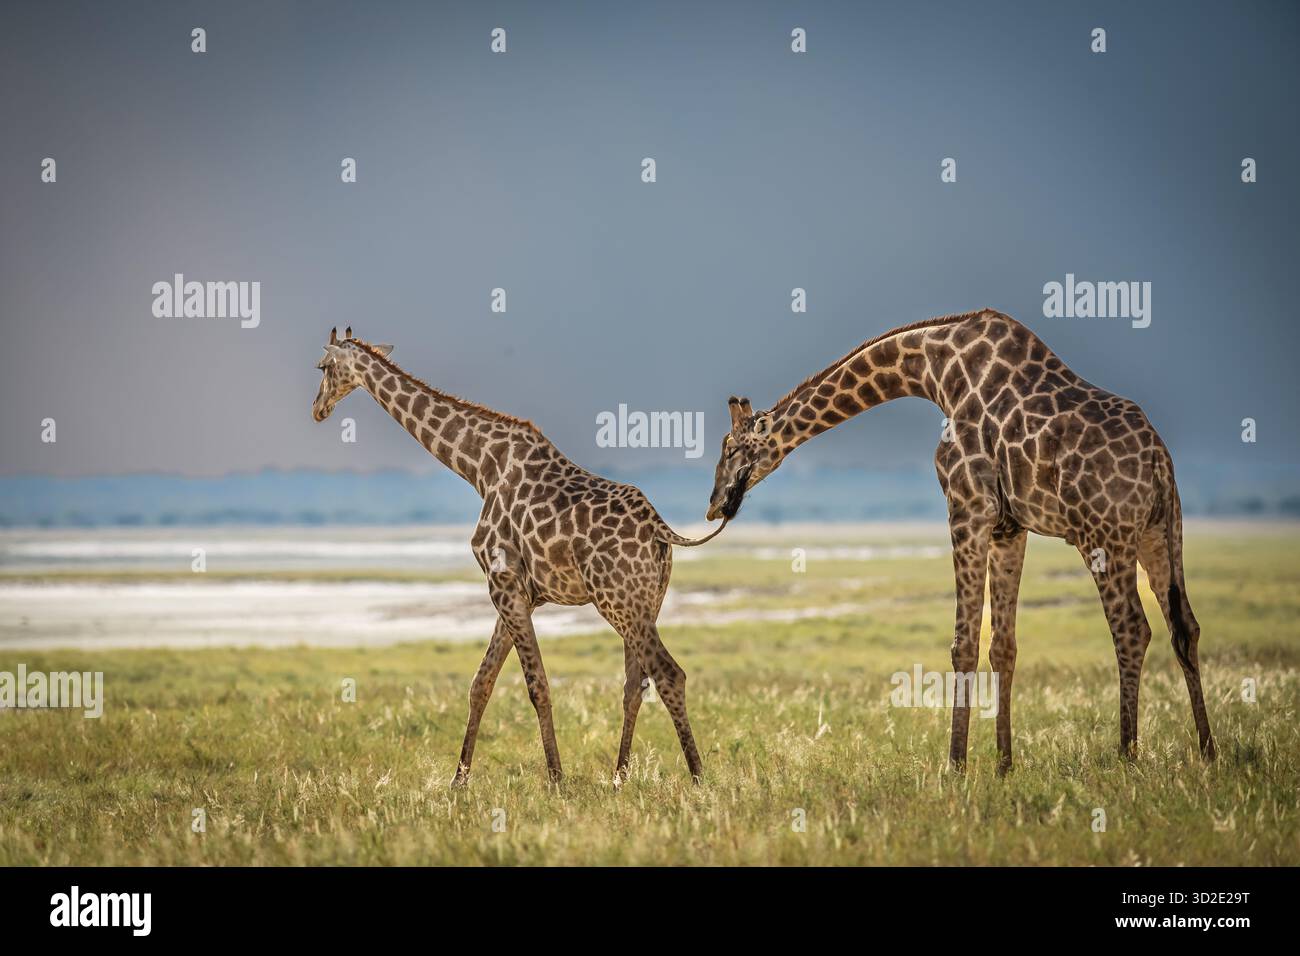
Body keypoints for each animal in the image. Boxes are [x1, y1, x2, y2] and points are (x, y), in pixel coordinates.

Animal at [311, 327, 727, 785]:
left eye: (323, 367)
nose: (318, 408)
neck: (479, 466)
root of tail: (660, 529)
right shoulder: (518, 591)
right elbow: (481, 683)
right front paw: (458, 782)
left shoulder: (503, 584)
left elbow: (536, 685)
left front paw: (556, 780)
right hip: (648, 601)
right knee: (635, 684)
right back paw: (619, 778)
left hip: (620, 601)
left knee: (669, 673)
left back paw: (698, 779)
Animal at [706, 309, 1215, 772]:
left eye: (730, 449)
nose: (714, 505)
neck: (936, 370)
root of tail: (1158, 460)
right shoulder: (1010, 526)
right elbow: (1003, 646)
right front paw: (1004, 765)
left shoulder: (966, 507)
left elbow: (963, 644)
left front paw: (955, 765)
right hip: (1161, 533)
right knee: (1184, 626)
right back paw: (1208, 752)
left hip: (1104, 534)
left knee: (1132, 628)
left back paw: (1127, 756)